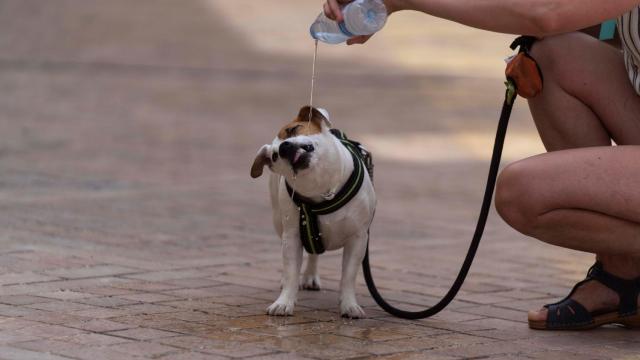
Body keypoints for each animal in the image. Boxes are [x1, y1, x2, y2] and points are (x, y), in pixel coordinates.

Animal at [250, 106, 378, 318]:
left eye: (293, 129)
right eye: (274, 156)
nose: (283, 148)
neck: (321, 188)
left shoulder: (358, 238)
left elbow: (348, 275)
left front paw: (349, 305)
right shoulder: (292, 237)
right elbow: (291, 271)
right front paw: (284, 302)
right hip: (279, 222)